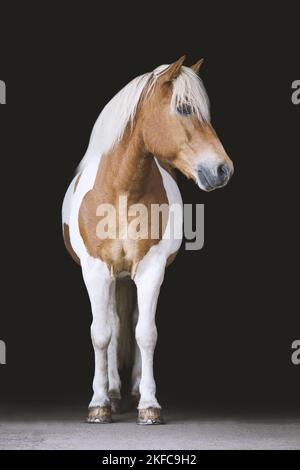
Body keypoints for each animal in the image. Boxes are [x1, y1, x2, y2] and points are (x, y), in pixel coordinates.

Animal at [61, 56, 234, 426]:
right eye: (184, 108)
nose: (223, 170)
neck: (122, 191)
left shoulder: (151, 269)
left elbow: (146, 334)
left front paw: (150, 405)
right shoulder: (96, 271)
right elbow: (101, 334)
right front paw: (98, 404)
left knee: (135, 323)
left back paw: (135, 392)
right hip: (113, 277)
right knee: (113, 327)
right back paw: (112, 394)